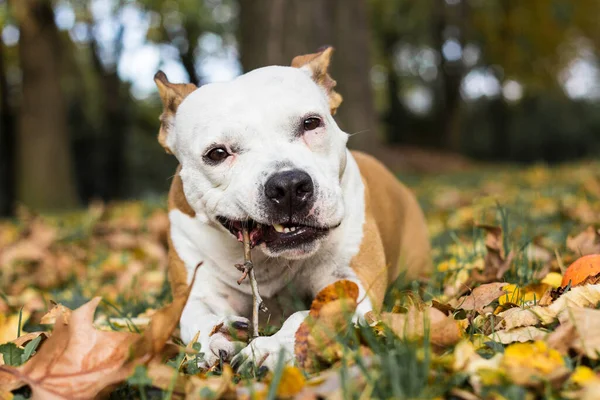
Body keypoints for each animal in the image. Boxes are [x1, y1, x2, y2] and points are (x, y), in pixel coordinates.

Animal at [152, 48, 428, 370]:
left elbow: (308, 317)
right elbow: (195, 315)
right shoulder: (196, 289)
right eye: (217, 153)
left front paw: (275, 346)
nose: (288, 185)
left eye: (310, 123)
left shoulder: (350, 282)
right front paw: (213, 336)